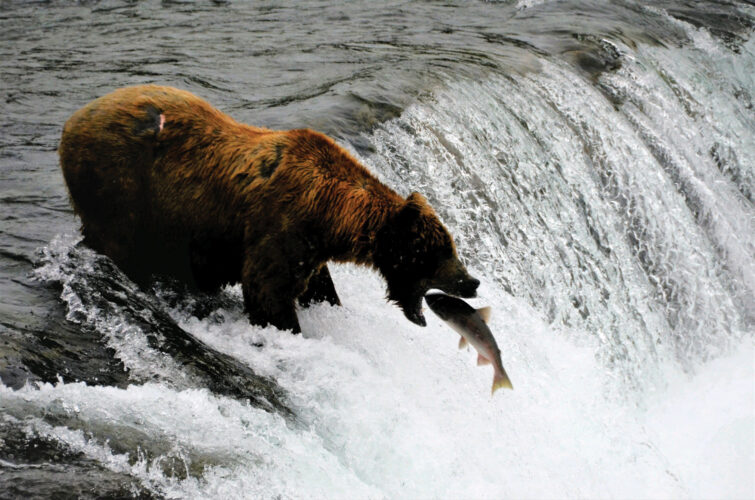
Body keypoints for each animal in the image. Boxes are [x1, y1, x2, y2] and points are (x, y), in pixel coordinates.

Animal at [58, 85, 479, 333]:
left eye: (451, 248)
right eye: (440, 252)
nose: (472, 282)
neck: (331, 216)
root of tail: (72, 119)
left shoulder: (309, 248)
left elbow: (315, 286)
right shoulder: (279, 224)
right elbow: (266, 289)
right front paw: (288, 327)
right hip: (119, 182)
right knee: (118, 240)